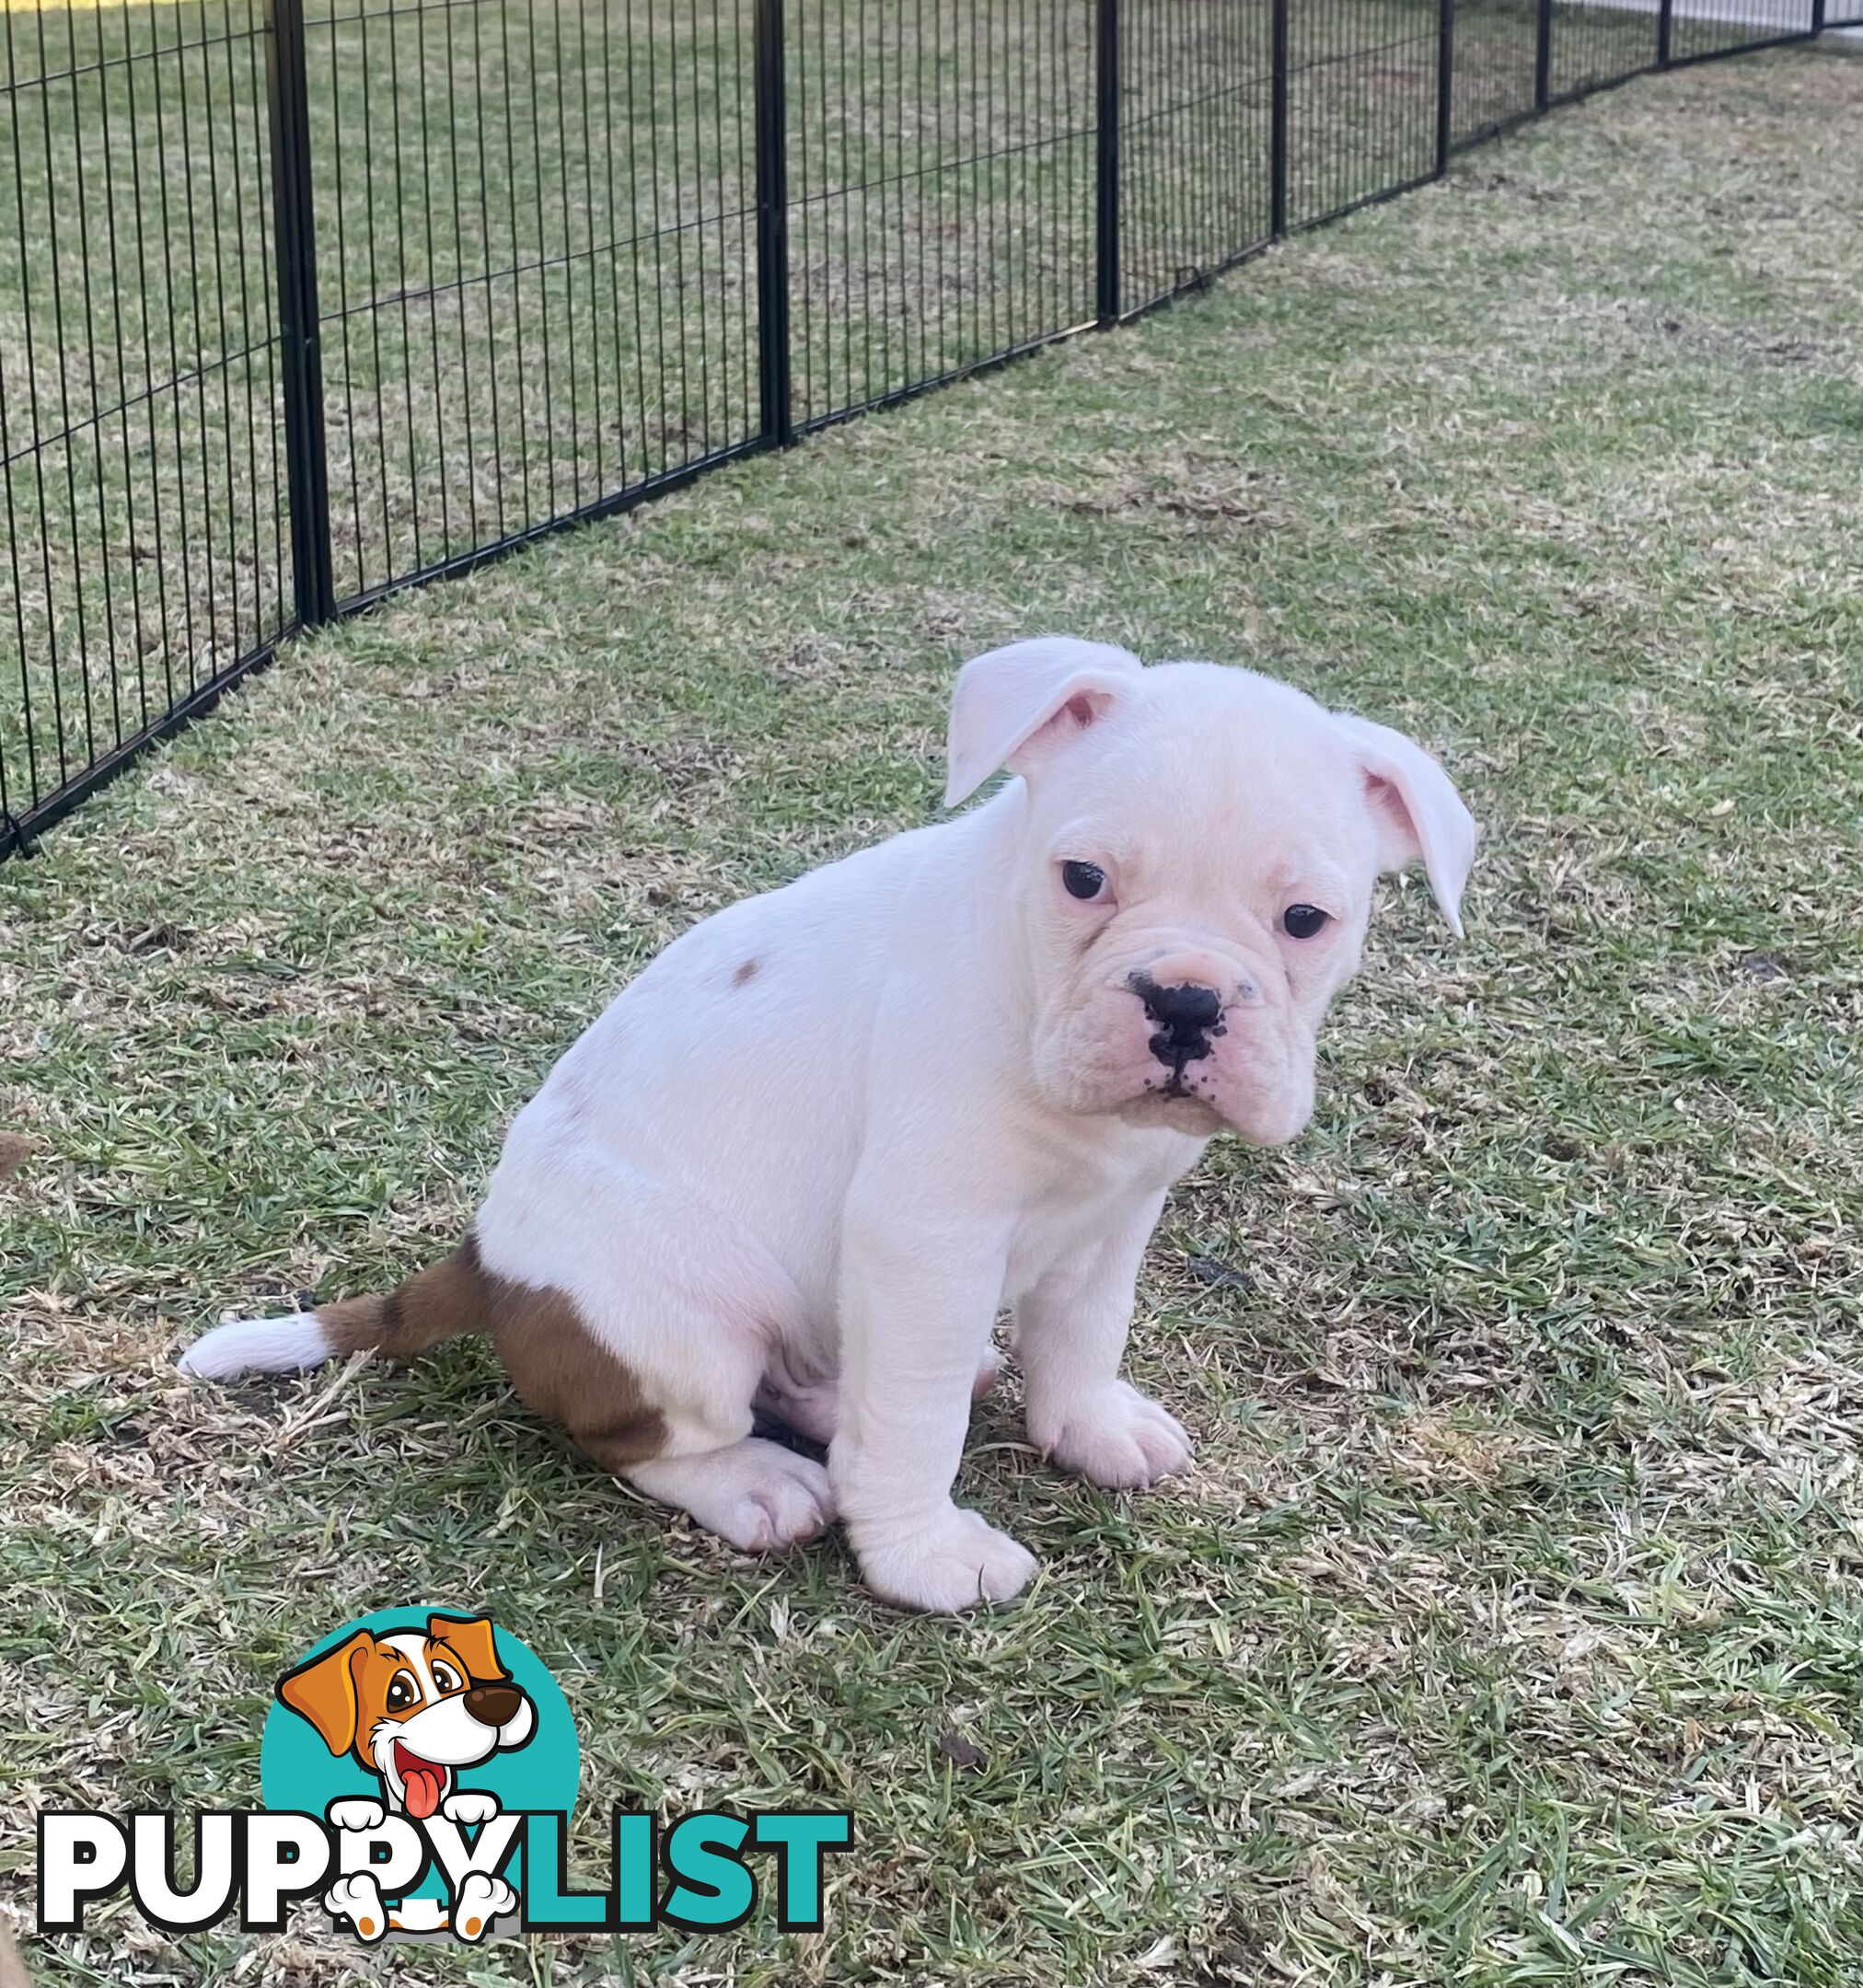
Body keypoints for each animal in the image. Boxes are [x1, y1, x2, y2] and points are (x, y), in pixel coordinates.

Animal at [184, 636, 1471, 1613]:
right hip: (684, 1323)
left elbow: (1082, 1334)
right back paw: (754, 1483)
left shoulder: (1114, 1215)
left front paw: (1086, 1425)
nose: (1186, 1002)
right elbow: (912, 1425)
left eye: (1305, 920)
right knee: (643, 1436)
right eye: (1082, 880)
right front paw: (921, 1553)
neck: (1025, 984)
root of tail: (489, 1262)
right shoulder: (925, 1238)